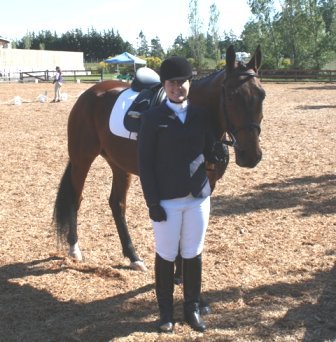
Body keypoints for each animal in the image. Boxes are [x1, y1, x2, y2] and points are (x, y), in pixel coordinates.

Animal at [52, 44, 266, 272]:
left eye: (262, 95)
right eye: (232, 96)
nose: (251, 155)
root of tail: (89, 94)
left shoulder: (207, 184)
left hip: (119, 165)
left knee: (117, 205)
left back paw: (133, 256)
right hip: (82, 160)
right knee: (76, 199)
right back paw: (74, 249)